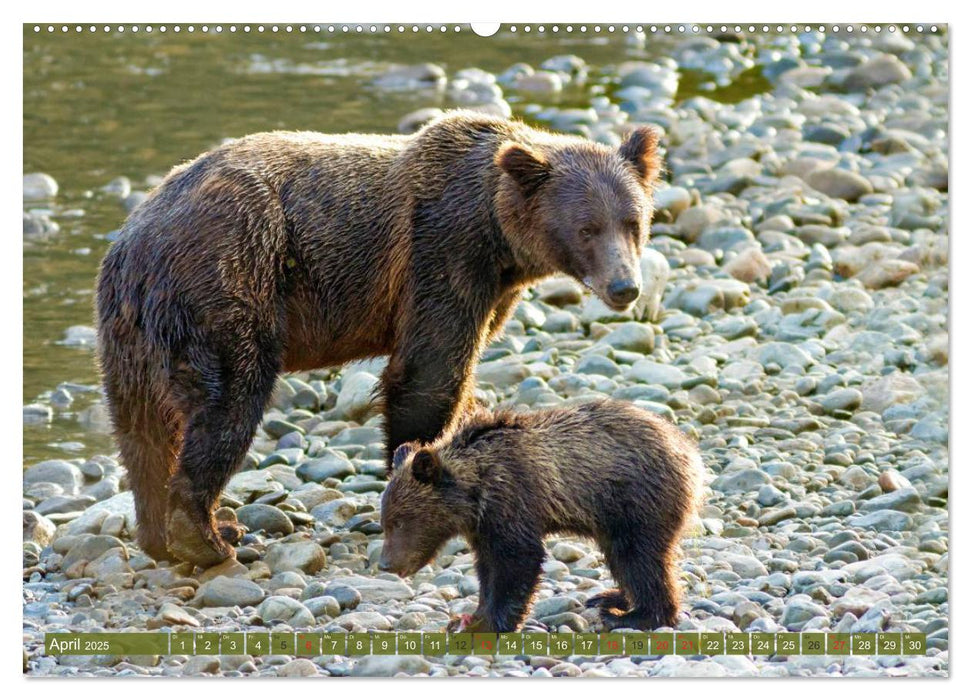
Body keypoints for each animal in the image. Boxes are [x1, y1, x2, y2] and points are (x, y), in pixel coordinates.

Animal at [95, 110, 664, 568]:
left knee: (141, 430)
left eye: (633, 222)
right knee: (227, 404)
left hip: (131, 334)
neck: (499, 239)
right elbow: (429, 370)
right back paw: (208, 537)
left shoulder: (491, 284)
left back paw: (160, 535)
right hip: (229, 282)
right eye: (587, 228)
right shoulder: (441, 251)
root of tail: (137, 241)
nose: (624, 286)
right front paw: (418, 472)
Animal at [376, 400, 704, 636]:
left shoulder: (514, 499)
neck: (476, 491)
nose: (386, 564)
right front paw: (467, 617)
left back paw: (632, 616)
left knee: (640, 558)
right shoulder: (484, 526)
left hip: (636, 502)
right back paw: (610, 597)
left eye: (400, 521)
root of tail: (688, 450)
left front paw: (489, 623)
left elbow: (519, 560)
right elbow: (487, 568)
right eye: (386, 521)